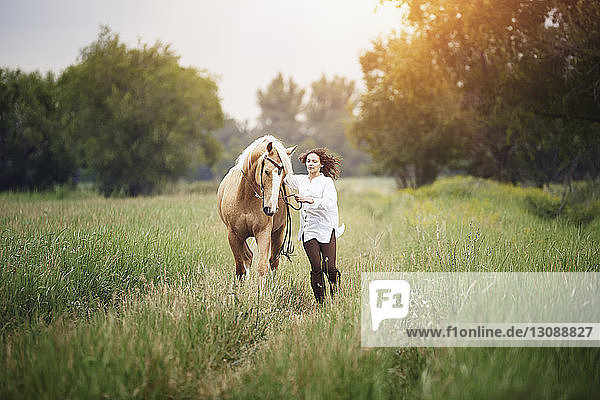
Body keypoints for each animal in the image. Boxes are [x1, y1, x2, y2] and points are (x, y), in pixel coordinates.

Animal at [218, 136, 298, 280]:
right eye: (266, 171)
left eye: (283, 175)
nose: (271, 209)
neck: (246, 197)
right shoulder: (233, 234)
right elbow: (240, 268)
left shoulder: (263, 232)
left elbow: (262, 267)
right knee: (248, 257)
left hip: (279, 232)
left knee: (273, 261)